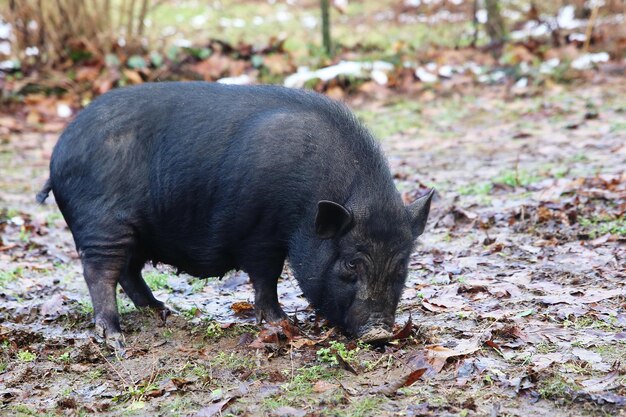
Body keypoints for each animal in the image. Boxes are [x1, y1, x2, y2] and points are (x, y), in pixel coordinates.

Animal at [36, 82, 432, 348]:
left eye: (402, 266)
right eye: (351, 263)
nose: (379, 332)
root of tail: (59, 153)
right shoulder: (260, 234)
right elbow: (267, 278)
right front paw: (281, 323)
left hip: (136, 232)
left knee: (129, 271)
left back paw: (163, 312)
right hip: (102, 224)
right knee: (99, 272)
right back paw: (114, 337)